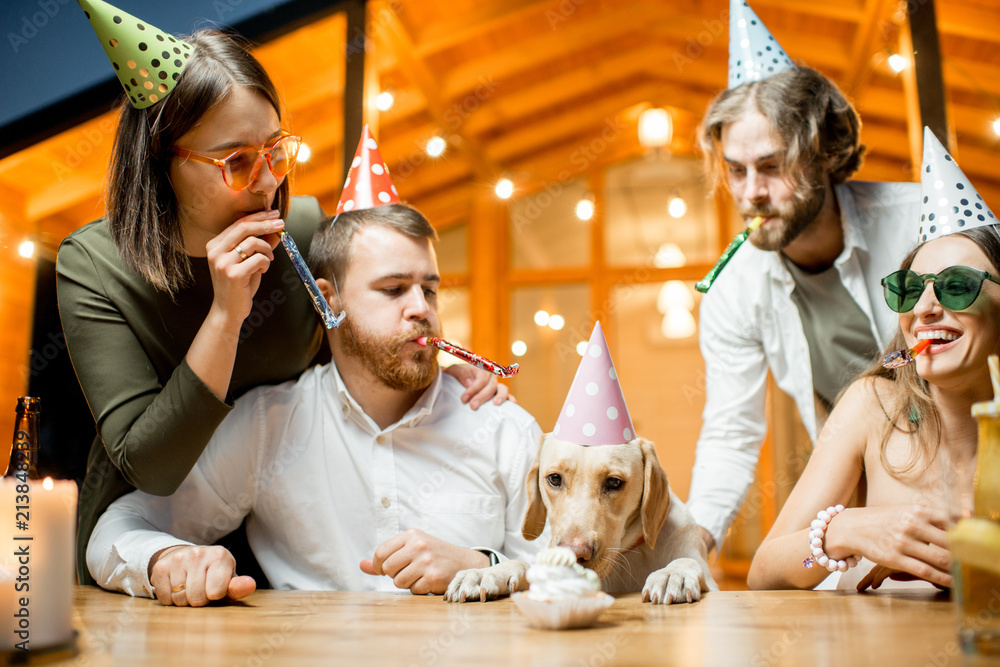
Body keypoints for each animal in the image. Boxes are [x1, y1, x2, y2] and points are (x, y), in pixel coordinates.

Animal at [448, 434, 720, 604]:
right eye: (554, 479)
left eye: (614, 482)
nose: (574, 553)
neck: (628, 554)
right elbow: (523, 565)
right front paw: (488, 573)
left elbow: (687, 561)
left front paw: (673, 573)